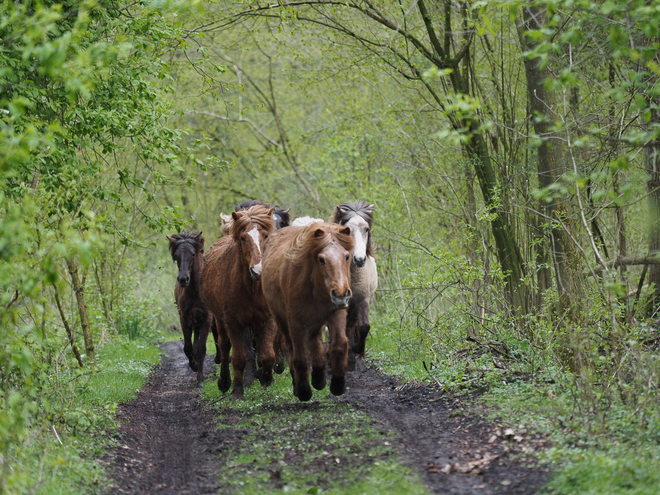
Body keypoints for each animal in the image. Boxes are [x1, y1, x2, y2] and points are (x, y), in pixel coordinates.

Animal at [166, 232, 220, 384]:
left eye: (193, 254)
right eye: (176, 256)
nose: (183, 279)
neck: (195, 291)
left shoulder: (207, 318)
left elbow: (201, 348)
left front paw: (200, 378)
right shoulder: (185, 318)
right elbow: (188, 348)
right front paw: (194, 365)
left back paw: (218, 358)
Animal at [199, 205, 276, 400]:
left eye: (265, 235)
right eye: (243, 238)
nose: (258, 271)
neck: (251, 289)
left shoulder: (266, 320)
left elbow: (267, 356)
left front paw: (265, 378)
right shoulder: (233, 323)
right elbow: (239, 357)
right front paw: (237, 390)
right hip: (220, 320)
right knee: (225, 347)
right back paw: (224, 381)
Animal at [262, 223, 356, 402]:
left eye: (346, 257)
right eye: (322, 259)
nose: (341, 294)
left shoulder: (336, 313)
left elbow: (339, 344)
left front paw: (337, 384)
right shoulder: (295, 321)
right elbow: (299, 356)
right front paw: (303, 390)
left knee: (314, 343)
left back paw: (319, 378)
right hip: (282, 319)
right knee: (289, 346)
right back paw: (299, 383)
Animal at [332, 201, 378, 360]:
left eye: (367, 229)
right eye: (347, 230)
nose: (359, 259)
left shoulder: (362, 299)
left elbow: (364, 326)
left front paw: (357, 348)